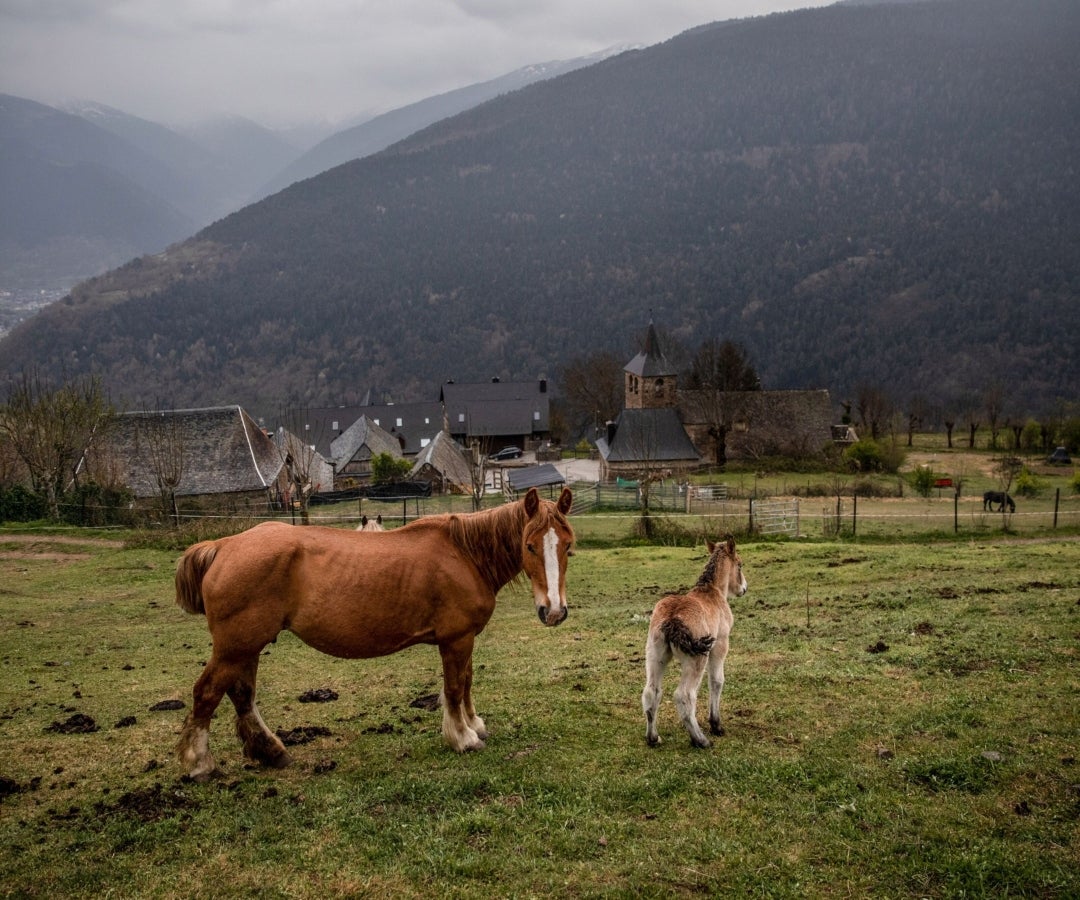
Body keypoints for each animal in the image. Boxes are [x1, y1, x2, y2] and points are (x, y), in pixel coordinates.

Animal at [174, 486, 574, 781]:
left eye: (568, 546)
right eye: (529, 545)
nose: (553, 611)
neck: (465, 554)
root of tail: (223, 546)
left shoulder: (465, 639)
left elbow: (467, 681)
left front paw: (475, 725)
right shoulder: (456, 639)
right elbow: (454, 688)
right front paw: (463, 737)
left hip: (248, 646)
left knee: (242, 695)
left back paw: (271, 751)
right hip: (235, 647)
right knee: (206, 693)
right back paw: (200, 763)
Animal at [642, 536, 747, 749]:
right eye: (740, 565)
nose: (744, 589)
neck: (711, 591)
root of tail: (672, 619)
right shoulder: (720, 645)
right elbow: (716, 681)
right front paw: (716, 725)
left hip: (655, 654)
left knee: (651, 692)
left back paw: (653, 738)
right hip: (697, 658)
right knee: (684, 695)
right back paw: (701, 740)